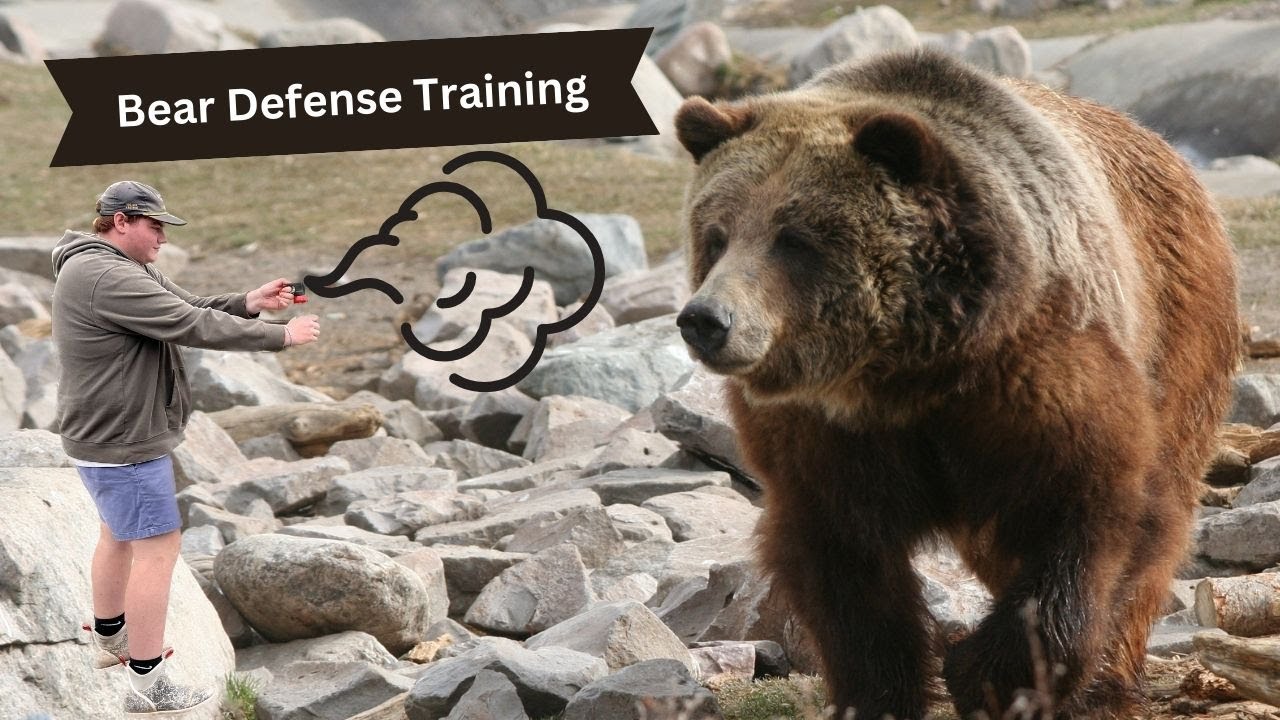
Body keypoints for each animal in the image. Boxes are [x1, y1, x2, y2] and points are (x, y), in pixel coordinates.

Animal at [673, 49, 1238, 720]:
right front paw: (880, 692)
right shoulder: (823, 435)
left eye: (795, 238)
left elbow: (1092, 507)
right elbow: (844, 563)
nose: (706, 320)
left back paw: (1109, 682)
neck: (906, 374)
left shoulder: (1036, 374)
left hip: (1177, 327)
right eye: (716, 235)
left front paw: (990, 674)